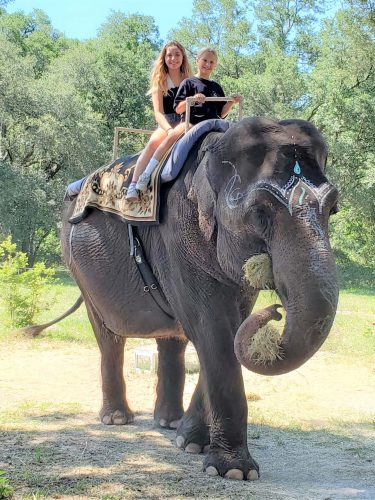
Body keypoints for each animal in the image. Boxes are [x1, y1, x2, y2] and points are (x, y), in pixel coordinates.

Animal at [27, 117, 340, 480]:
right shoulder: (177, 233)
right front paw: (234, 472)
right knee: (109, 336)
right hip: (78, 266)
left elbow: (229, 329)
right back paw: (117, 419)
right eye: (260, 212)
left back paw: (169, 423)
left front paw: (190, 444)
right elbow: (213, 329)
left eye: (334, 209)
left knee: (172, 339)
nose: (274, 311)